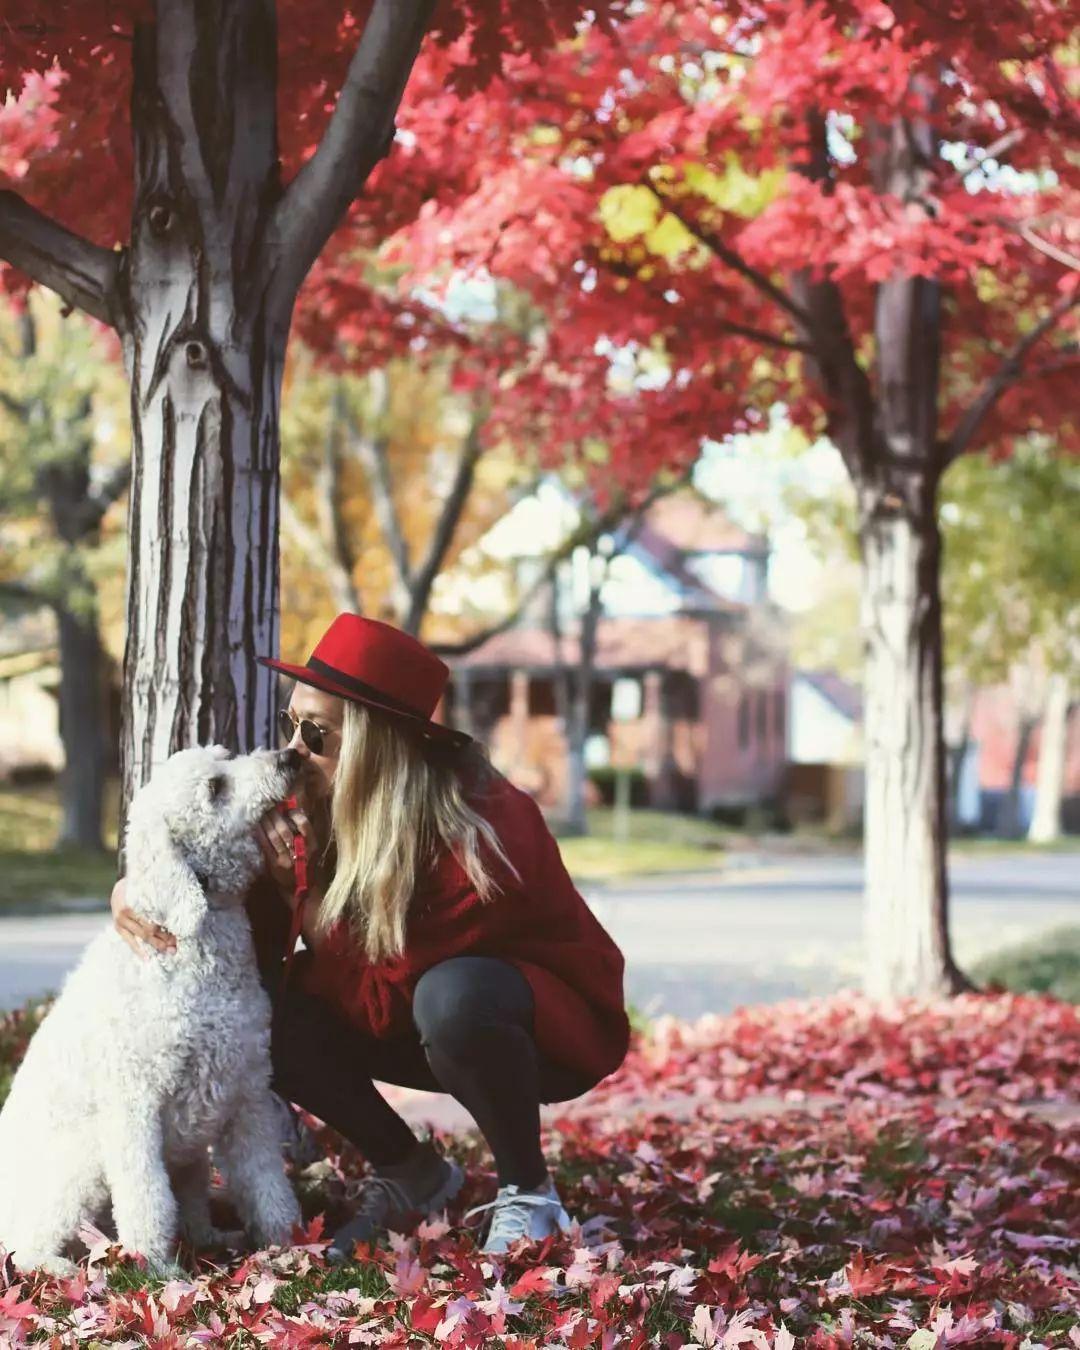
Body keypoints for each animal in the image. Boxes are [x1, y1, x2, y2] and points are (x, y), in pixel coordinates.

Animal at [0, 745, 303, 1269]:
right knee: (25, 1244)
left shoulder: (246, 1091)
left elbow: (266, 1181)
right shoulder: (134, 1103)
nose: (288, 757)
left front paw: (291, 1249)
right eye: (215, 788)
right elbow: (148, 1197)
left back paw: (210, 1237)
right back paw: (59, 1267)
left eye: (226, 755)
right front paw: (156, 1267)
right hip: (83, 1156)